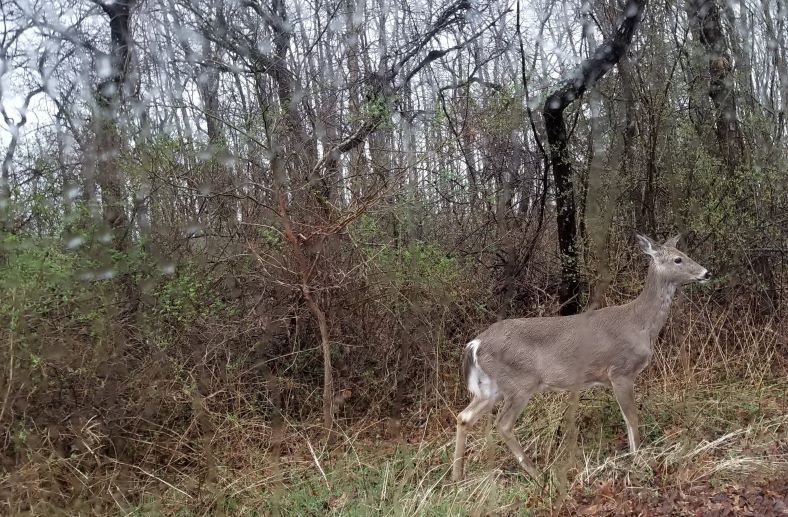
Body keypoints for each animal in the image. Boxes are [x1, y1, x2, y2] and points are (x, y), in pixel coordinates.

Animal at [452, 233, 712, 480]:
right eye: (678, 259)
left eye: (684, 254)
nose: (707, 272)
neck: (640, 324)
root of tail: (475, 343)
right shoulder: (620, 371)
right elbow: (631, 417)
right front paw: (638, 459)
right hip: (520, 383)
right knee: (503, 424)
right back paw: (537, 475)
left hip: (492, 386)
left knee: (464, 417)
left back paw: (457, 476)